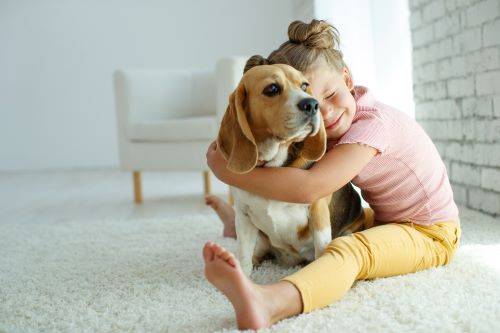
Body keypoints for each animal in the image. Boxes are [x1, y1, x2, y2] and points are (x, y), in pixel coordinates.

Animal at [219, 57, 364, 274]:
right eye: (272, 89)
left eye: (304, 86)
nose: (312, 104)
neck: (274, 166)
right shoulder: (243, 215)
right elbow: (243, 256)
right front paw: (242, 276)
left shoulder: (318, 211)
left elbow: (322, 250)